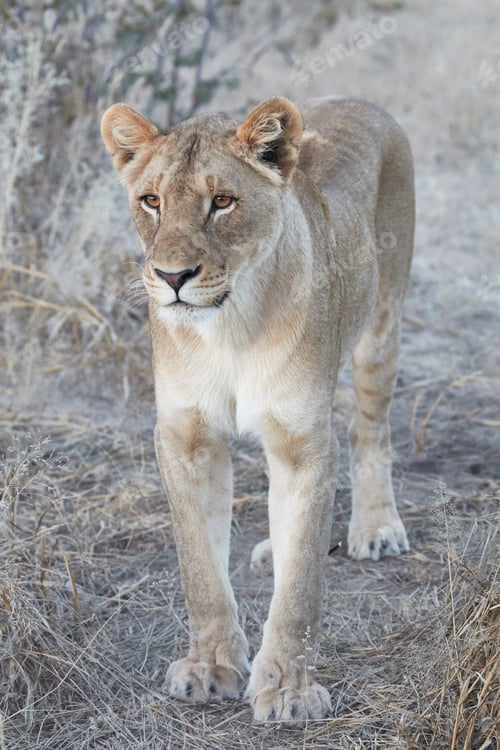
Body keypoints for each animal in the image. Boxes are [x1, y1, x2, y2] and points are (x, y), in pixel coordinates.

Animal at [100, 94, 414, 724]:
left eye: (222, 202)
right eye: (151, 201)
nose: (172, 277)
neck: (229, 327)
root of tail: (361, 99)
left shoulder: (304, 442)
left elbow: (300, 594)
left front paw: (289, 690)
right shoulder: (185, 439)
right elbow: (200, 570)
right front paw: (208, 668)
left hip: (381, 326)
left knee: (371, 431)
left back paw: (375, 527)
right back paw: (276, 548)